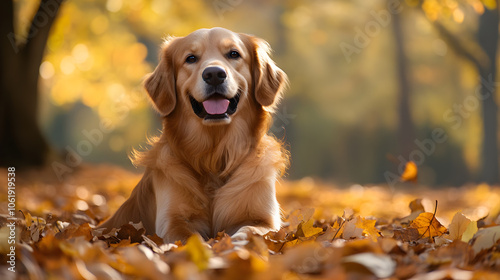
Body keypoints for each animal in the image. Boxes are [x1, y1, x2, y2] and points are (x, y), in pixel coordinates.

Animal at [99, 27, 288, 244]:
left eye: (234, 54)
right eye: (191, 58)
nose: (214, 74)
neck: (214, 158)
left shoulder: (264, 219)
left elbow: (249, 231)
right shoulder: (172, 220)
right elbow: (191, 238)